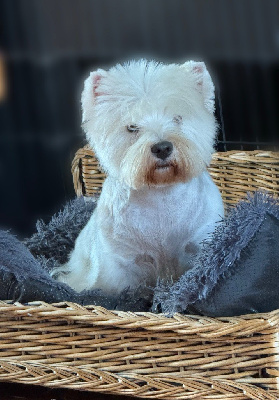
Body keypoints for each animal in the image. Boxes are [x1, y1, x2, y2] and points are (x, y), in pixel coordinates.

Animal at [53, 61, 225, 296]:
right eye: (132, 127)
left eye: (177, 118)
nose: (162, 148)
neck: (161, 195)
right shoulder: (120, 265)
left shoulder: (199, 241)